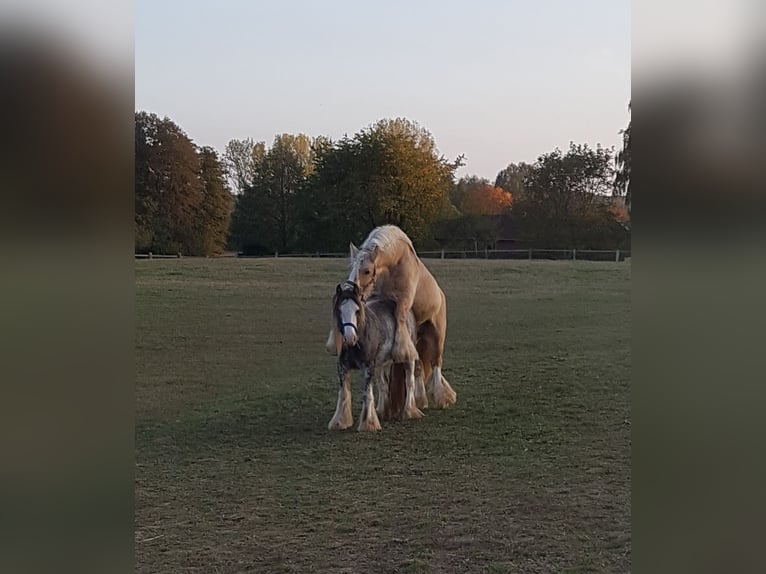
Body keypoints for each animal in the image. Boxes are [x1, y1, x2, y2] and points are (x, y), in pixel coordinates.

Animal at [328, 225, 460, 410]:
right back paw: (420, 399)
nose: (349, 290)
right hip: (419, 338)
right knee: (419, 366)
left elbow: (399, 318)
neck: (396, 263)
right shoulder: (377, 297)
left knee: (436, 363)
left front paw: (400, 349)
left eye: (367, 270)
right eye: (351, 268)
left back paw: (441, 397)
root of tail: (440, 295)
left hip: (437, 334)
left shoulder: (403, 302)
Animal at [328, 282, 428, 434]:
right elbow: (344, 393)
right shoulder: (343, 367)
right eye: (340, 310)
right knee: (383, 384)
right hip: (382, 363)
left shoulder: (368, 367)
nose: (350, 338)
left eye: (357, 311)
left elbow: (367, 393)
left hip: (408, 358)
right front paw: (340, 422)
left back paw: (409, 411)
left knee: (409, 381)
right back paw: (383, 412)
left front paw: (368, 423)